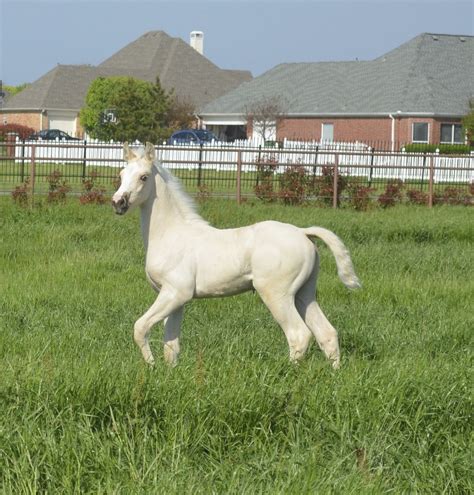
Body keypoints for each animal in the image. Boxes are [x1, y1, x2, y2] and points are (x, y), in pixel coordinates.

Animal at [113, 142, 362, 368]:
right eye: (122, 174)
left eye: (144, 177)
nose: (118, 202)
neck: (171, 234)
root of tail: (302, 233)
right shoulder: (173, 297)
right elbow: (171, 345)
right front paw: (168, 372)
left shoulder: (175, 293)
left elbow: (140, 328)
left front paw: (150, 365)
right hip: (304, 293)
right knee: (327, 334)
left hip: (277, 295)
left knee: (298, 334)